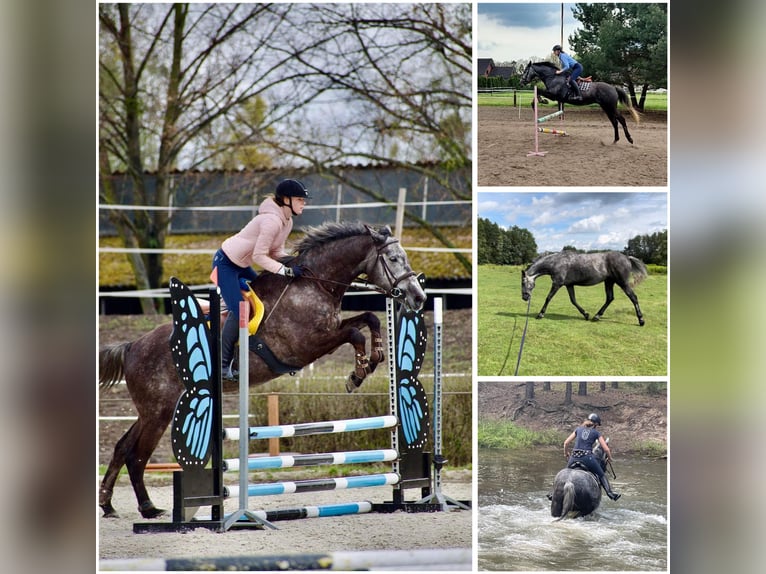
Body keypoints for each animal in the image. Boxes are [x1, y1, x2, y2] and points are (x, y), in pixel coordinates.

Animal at [520, 253, 648, 328]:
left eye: (522, 283)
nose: (525, 297)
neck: (556, 262)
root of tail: (627, 257)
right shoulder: (569, 285)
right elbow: (573, 300)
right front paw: (586, 314)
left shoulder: (557, 284)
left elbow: (548, 298)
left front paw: (540, 314)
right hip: (609, 282)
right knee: (610, 298)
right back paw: (596, 316)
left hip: (622, 282)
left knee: (633, 297)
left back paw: (641, 320)